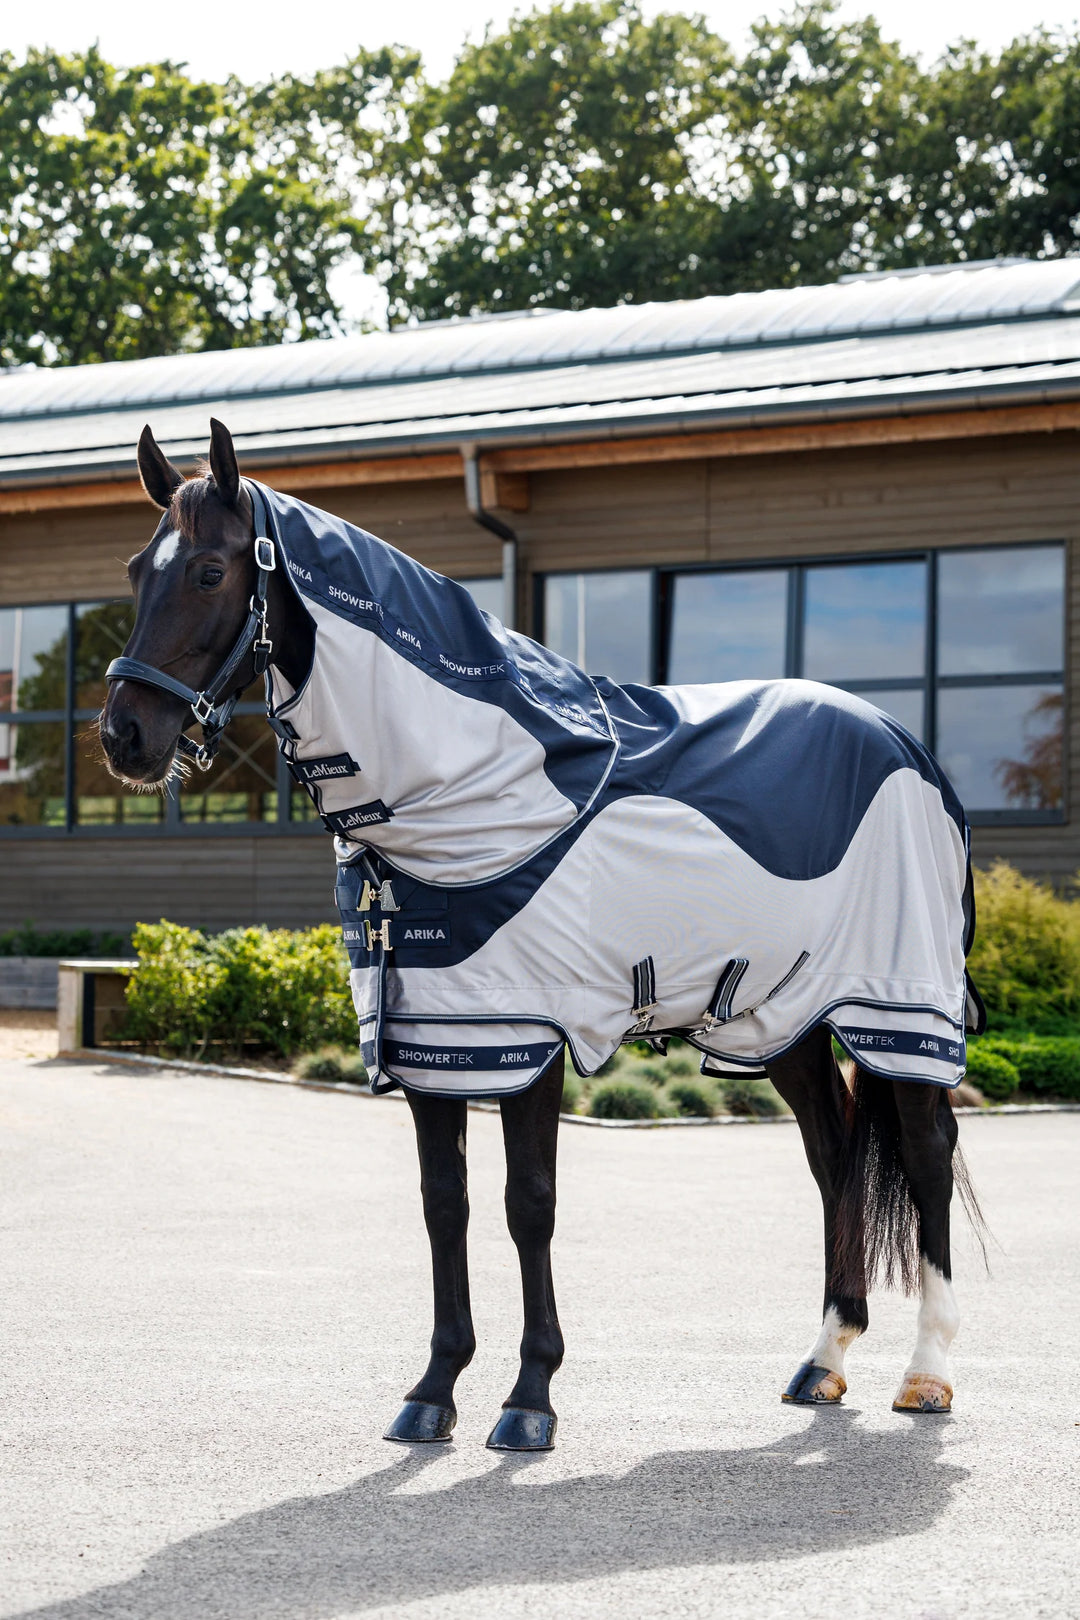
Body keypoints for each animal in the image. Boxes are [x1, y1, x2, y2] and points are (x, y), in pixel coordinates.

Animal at [101, 421, 990, 1458]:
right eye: (136, 569)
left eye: (209, 570)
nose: (124, 736)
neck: (481, 792)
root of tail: (905, 744)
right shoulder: (435, 1040)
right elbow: (444, 1204)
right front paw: (434, 1390)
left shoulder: (526, 1035)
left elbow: (529, 1204)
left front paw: (530, 1399)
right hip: (780, 1021)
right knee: (833, 1155)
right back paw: (823, 1360)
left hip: (898, 1008)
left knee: (925, 1152)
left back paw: (927, 1375)